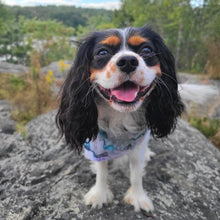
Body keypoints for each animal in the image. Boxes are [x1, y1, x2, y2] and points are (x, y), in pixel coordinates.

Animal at [56, 25, 184, 213]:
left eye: (147, 50)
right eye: (102, 52)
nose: (128, 61)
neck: (121, 116)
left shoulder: (138, 142)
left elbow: (136, 172)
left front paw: (138, 197)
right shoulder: (98, 145)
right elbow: (102, 169)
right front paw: (99, 194)